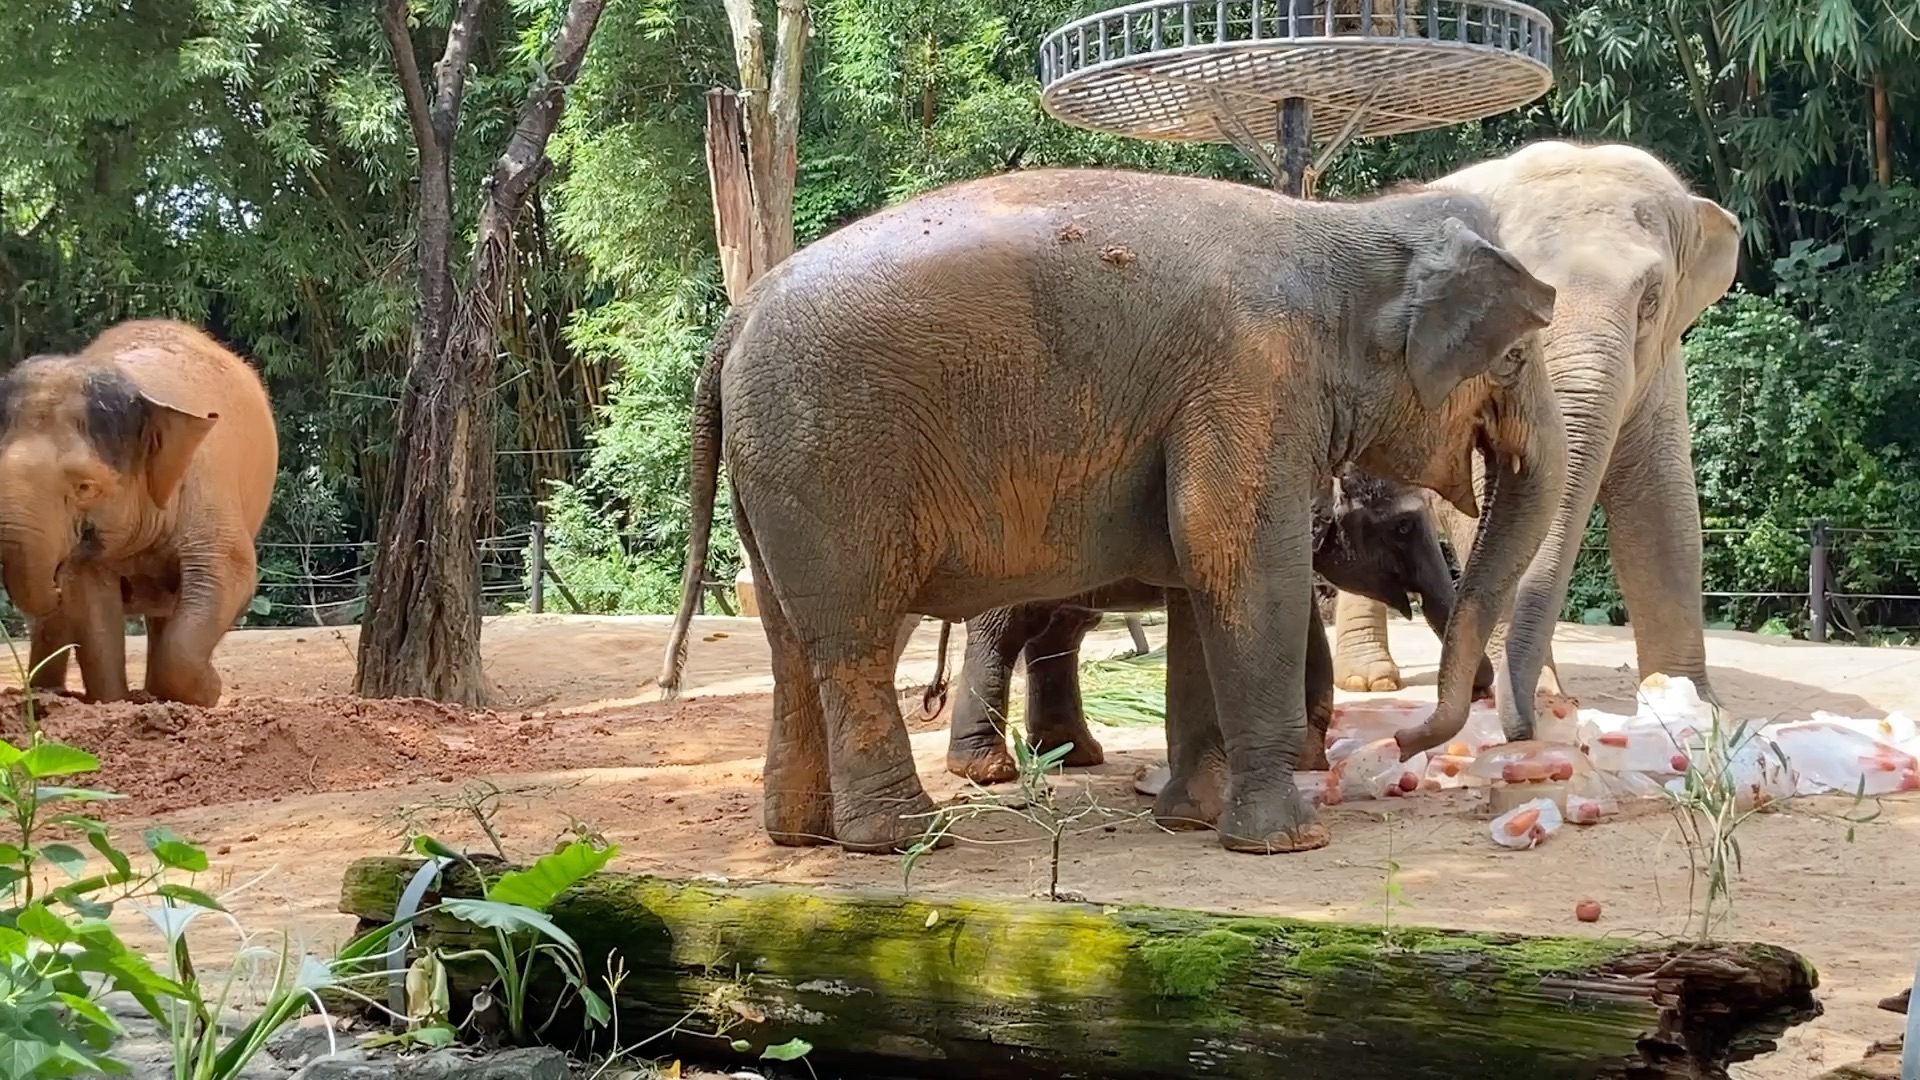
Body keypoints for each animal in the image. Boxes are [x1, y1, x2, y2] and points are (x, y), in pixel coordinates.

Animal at [0, 317, 278, 707]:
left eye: (85, 487)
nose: (55, 581)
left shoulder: (208, 490)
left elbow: (228, 576)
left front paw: (206, 692)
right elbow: (90, 600)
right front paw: (116, 702)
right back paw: (47, 693)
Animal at [944, 463, 1497, 780]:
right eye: (1402, 526)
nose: (1484, 689)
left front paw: (1305, 761)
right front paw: (1304, 762)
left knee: (1062, 629)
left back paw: (1073, 757)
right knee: (1005, 631)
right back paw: (988, 771)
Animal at [1328, 141, 1751, 737]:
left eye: (1650, 300)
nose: (1527, 722)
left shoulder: (1662, 372)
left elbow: (1664, 509)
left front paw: (1695, 708)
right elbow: (1486, 509)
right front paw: (1547, 694)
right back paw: (1371, 682)